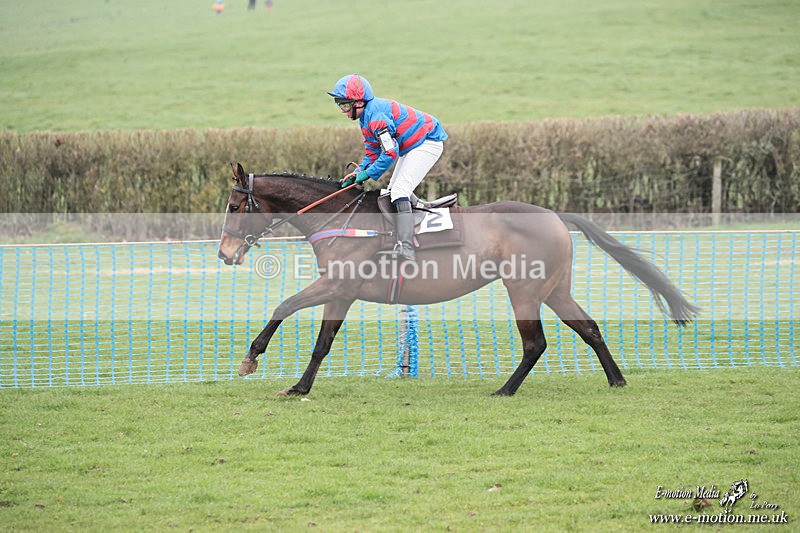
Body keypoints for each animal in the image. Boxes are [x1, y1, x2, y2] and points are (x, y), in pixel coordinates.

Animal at [217, 163, 699, 397]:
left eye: (236, 206)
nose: (224, 253)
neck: (342, 219)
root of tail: (555, 214)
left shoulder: (336, 286)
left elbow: (282, 306)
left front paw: (251, 358)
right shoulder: (341, 293)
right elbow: (322, 343)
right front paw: (300, 387)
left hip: (523, 290)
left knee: (535, 343)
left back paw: (505, 390)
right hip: (554, 290)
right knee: (589, 328)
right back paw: (616, 380)